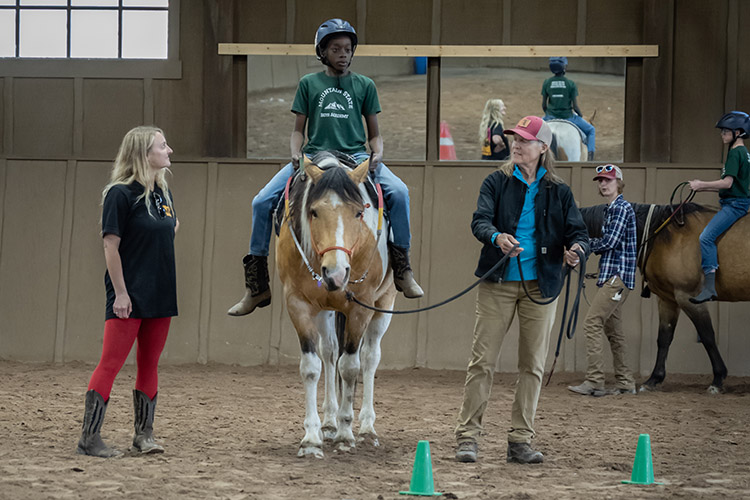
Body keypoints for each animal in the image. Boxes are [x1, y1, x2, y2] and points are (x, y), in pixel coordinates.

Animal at [274, 151, 396, 458]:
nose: (336, 273)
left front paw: (345, 434)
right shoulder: (298, 304)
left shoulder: (361, 308)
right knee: (329, 354)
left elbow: (350, 367)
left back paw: (366, 429)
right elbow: (311, 366)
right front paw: (311, 438)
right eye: (314, 212)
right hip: (325, 311)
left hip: (384, 304)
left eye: (358, 212)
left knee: (370, 357)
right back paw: (328, 423)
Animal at [580, 201, 750, 392]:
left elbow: (707, 336)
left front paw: (718, 379)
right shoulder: (668, 299)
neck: (662, 235)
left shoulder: (689, 297)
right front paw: (654, 379)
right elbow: (664, 338)